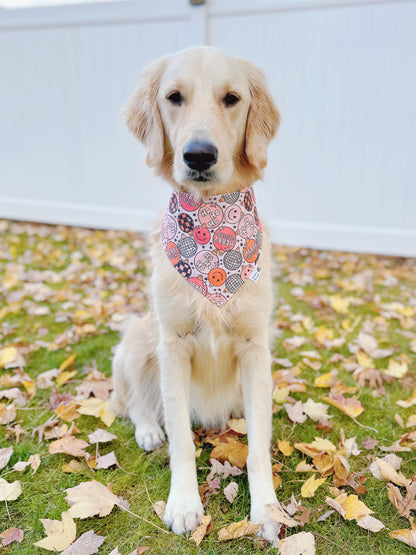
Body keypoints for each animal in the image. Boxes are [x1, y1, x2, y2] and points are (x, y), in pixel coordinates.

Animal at [111, 46, 280, 544]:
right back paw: (149, 431)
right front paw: (184, 504)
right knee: (133, 404)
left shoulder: (256, 348)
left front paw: (267, 510)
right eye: (174, 97)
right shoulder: (173, 346)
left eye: (232, 98)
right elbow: (183, 441)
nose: (200, 155)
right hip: (138, 339)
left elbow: (259, 445)